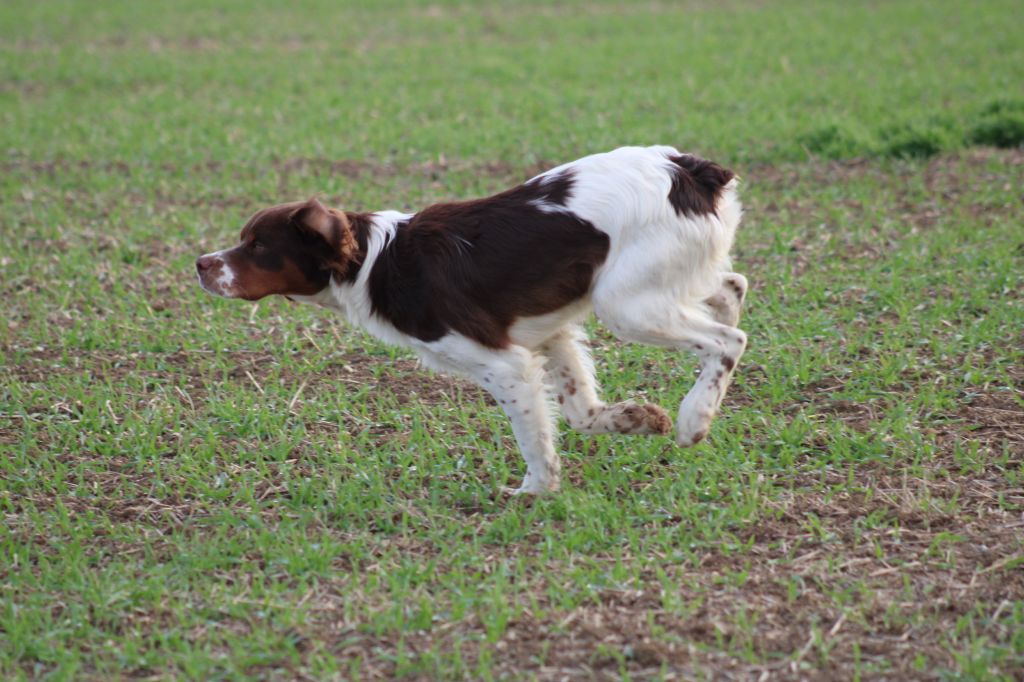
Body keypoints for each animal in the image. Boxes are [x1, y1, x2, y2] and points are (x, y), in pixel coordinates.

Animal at [195, 146, 749, 491]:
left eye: (257, 245)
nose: (200, 264)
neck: (376, 261)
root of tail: (690, 170)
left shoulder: (502, 364)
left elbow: (533, 437)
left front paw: (536, 491)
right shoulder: (549, 336)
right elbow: (580, 413)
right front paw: (635, 418)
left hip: (625, 304)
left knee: (729, 339)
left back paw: (695, 419)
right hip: (650, 284)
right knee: (732, 286)